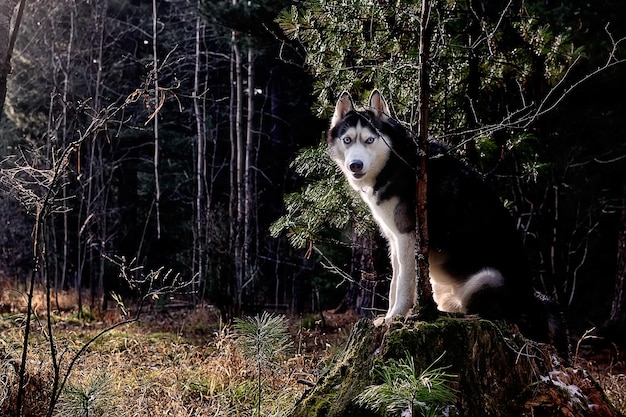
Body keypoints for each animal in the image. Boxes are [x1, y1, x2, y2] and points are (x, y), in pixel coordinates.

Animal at [326, 89, 564, 350]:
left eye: (370, 140)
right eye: (347, 140)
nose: (355, 165)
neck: (397, 162)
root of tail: (532, 300)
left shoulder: (407, 238)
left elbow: (403, 285)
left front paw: (395, 317)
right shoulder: (394, 239)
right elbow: (394, 283)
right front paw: (386, 317)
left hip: (485, 279)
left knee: (490, 313)